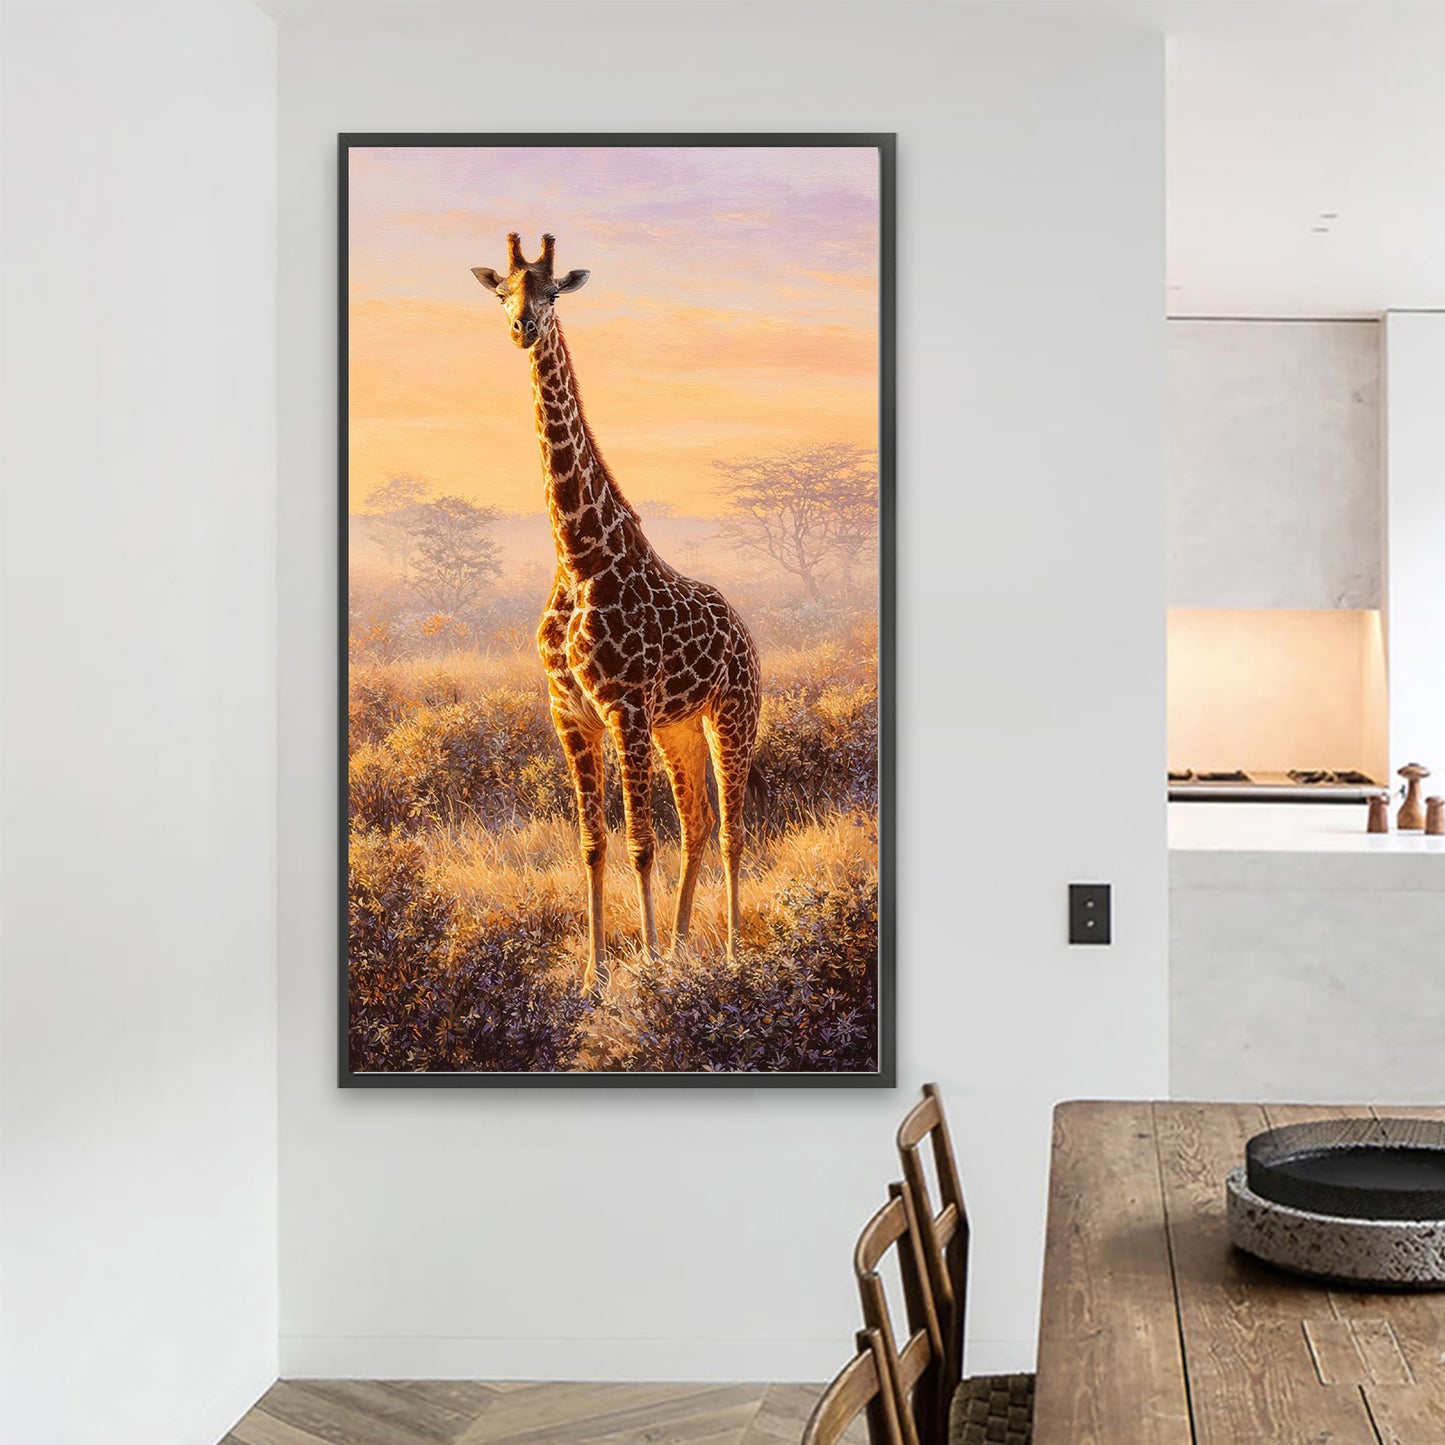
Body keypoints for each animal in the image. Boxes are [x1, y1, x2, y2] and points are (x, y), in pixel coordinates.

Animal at [472, 234, 763, 992]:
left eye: (550, 293)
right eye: (502, 291)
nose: (521, 329)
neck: (578, 558)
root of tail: (745, 630)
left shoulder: (624, 708)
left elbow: (638, 841)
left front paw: (650, 966)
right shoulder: (570, 712)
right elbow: (591, 842)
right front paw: (596, 975)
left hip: (733, 713)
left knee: (730, 827)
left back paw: (727, 953)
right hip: (677, 726)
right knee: (696, 821)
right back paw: (687, 943)